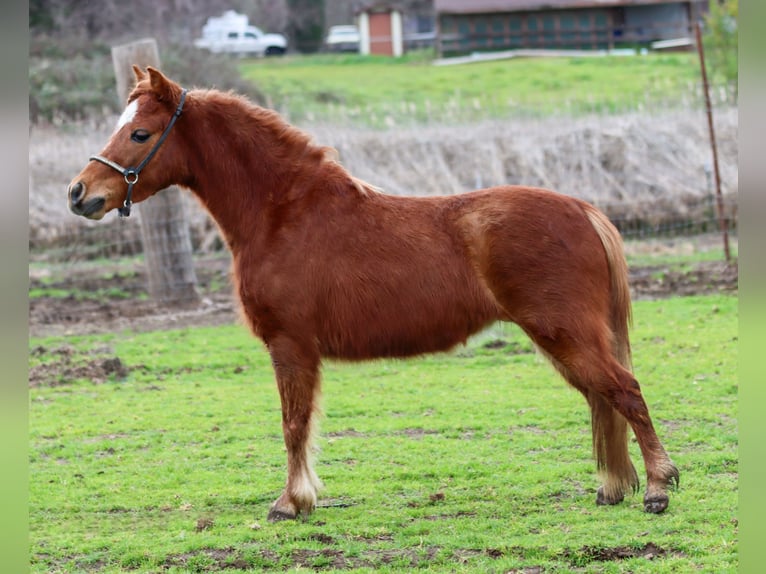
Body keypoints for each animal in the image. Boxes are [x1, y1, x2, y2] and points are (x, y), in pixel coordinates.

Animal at [67, 66, 678, 521]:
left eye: (140, 134)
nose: (79, 193)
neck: (282, 213)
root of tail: (583, 209)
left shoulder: (290, 346)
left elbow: (293, 425)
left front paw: (291, 502)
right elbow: (300, 425)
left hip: (565, 334)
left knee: (624, 391)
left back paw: (657, 488)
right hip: (566, 341)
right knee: (602, 399)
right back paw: (614, 488)